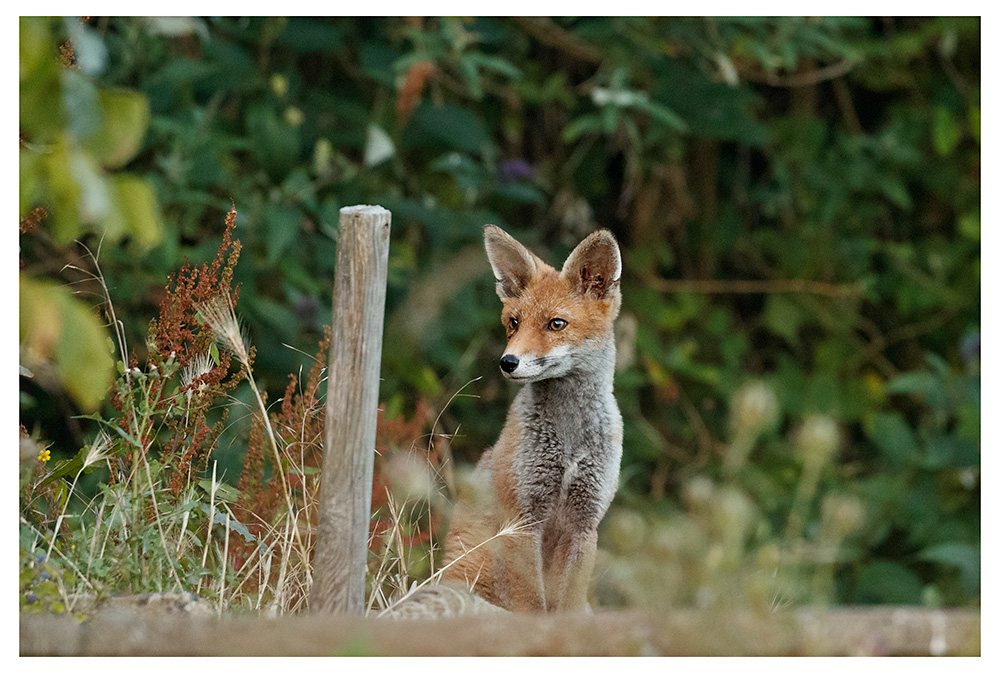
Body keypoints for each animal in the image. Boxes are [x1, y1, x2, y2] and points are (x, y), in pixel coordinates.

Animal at [430, 224, 624, 614]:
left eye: (556, 324)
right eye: (514, 323)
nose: (507, 362)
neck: (569, 440)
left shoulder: (585, 522)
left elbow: (567, 607)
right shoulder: (522, 518)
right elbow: (531, 605)